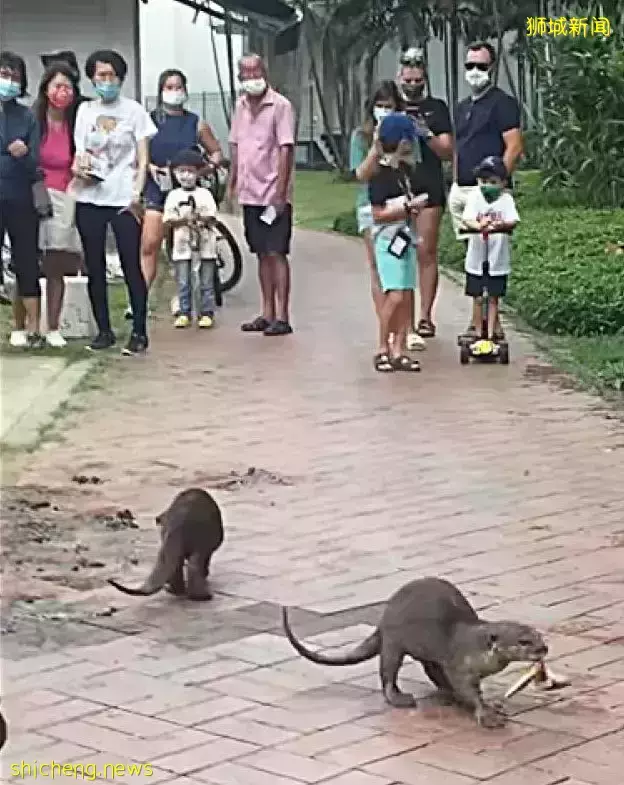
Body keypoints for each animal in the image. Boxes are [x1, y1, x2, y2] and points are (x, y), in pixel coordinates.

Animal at [282, 572, 544, 724]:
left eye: (540, 636)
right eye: (524, 641)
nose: (544, 649)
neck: (474, 647)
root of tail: (383, 620)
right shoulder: (459, 665)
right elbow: (467, 690)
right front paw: (486, 712)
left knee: (432, 670)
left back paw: (446, 694)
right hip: (393, 643)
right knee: (388, 673)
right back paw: (400, 698)